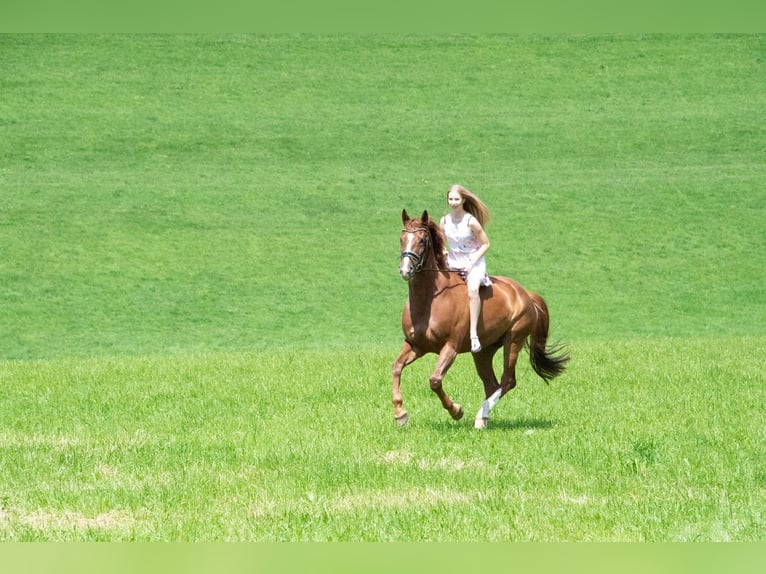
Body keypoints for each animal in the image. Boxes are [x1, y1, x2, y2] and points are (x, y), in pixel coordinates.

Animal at [392, 209, 569, 428]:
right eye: (402, 238)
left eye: (423, 240)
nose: (405, 270)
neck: (429, 301)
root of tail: (525, 294)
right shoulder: (415, 345)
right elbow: (396, 368)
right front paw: (400, 414)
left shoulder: (450, 347)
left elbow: (435, 380)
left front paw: (456, 411)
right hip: (483, 351)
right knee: (492, 384)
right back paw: (484, 418)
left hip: (514, 340)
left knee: (507, 381)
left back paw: (480, 416)